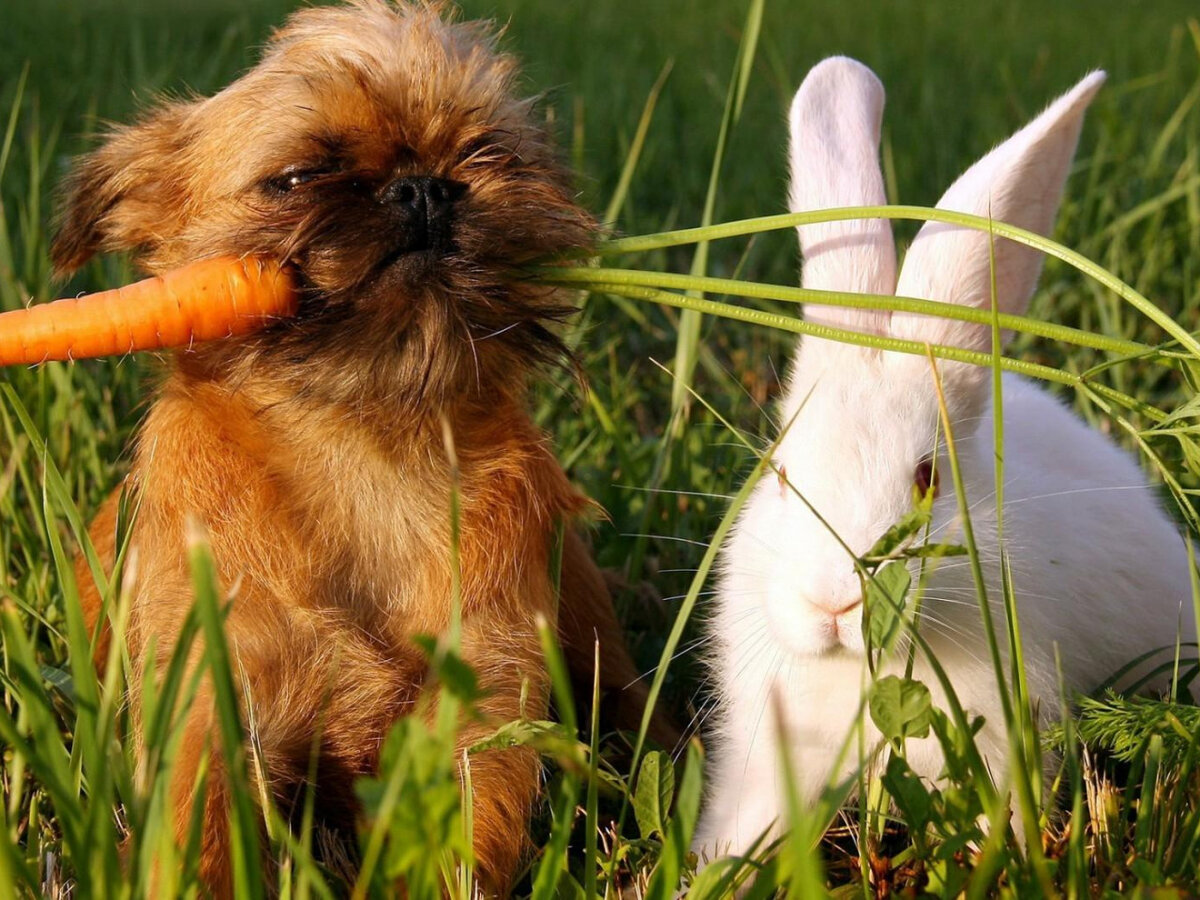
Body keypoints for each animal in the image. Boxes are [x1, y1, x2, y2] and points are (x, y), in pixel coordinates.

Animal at [51, 3, 662, 897]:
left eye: (488, 152)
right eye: (298, 177)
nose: (423, 185)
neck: (366, 446)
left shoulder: (481, 699)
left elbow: (457, 840)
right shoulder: (208, 700)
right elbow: (199, 836)